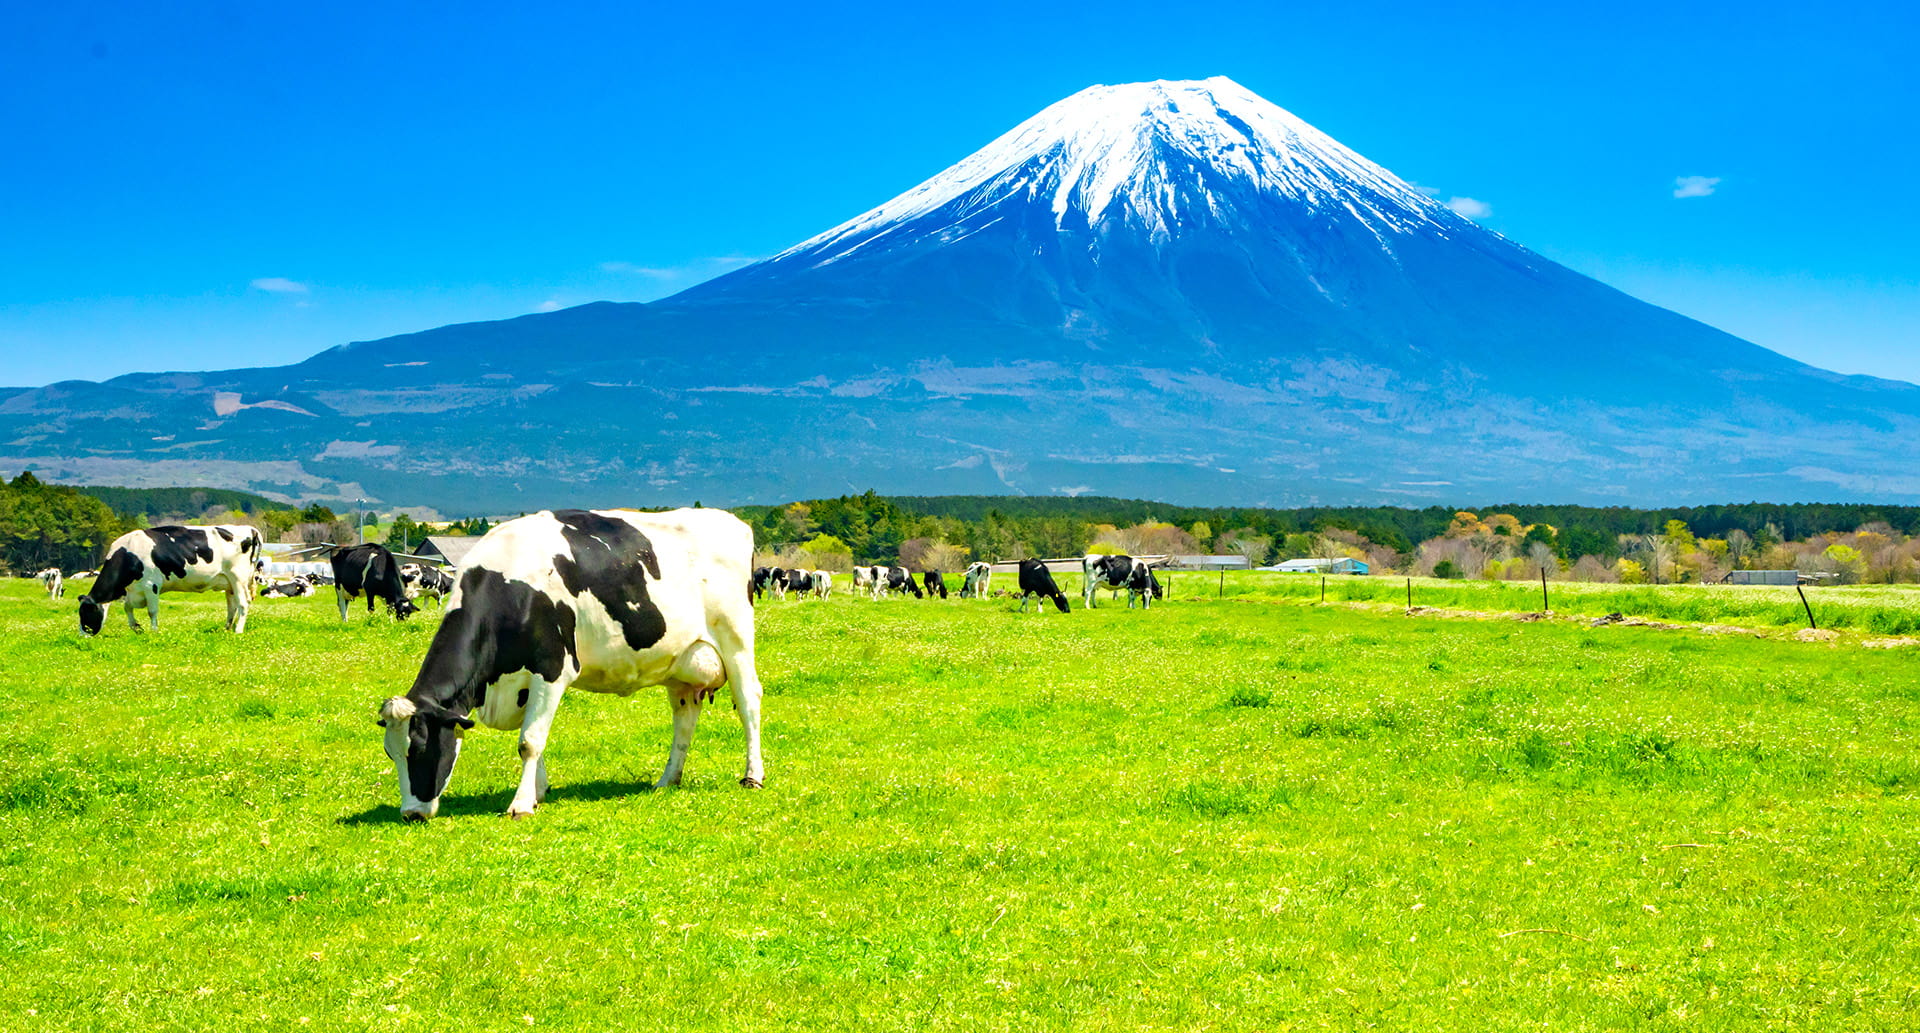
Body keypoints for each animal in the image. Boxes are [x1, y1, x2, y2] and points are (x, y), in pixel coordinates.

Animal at [77, 522, 263, 633]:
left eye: (85, 613)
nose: (82, 635)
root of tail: (250, 529)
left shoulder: (151, 585)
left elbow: (152, 611)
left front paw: (154, 631)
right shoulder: (132, 590)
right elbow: (127, 608)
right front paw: (136, 628)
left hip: (238, 577)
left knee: (243, 604)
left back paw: (238, 630)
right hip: (229, 582)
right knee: (232, 606)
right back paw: (227, 629)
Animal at [374, 506, 764, 821]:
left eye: (419, 748)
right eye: (390, 753)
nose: (410, 814)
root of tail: (731, 521)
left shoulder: (552, 668)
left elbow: (529, 741)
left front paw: (521, 805)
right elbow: (531, 736)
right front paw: (538, 792)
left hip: (736, 640)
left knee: (748, 702)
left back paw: (752, 776)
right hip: (682, 663)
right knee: (684, 719)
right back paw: (668, 780)